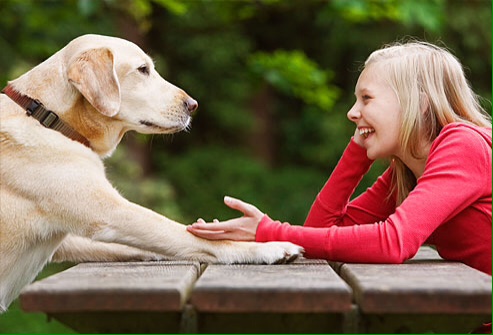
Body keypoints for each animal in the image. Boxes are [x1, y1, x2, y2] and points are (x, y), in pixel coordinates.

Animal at [0, 34, 302, 312]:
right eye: (143, 69)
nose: (193, 105)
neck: (47, 115)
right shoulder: (111, 213)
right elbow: (186, 235)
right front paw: (268, 247)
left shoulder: (69, 239)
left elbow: (147, 244)